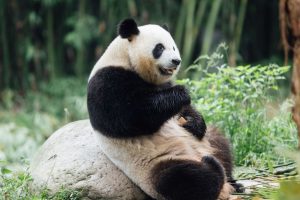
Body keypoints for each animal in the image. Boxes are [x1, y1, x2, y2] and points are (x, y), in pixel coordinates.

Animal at [86, 18, 239, 200]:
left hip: (207, 141)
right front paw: (182, 92)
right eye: (159, 48)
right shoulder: (107, 82)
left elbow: (185, 111)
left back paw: (234, 181)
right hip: (155, 165)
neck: (125, 58)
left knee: (220, 142)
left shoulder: (163, 82)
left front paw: (194, 122)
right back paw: (213, 167)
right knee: (181, 178)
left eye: (173, 47)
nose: (176, 61)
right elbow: (131, 117)